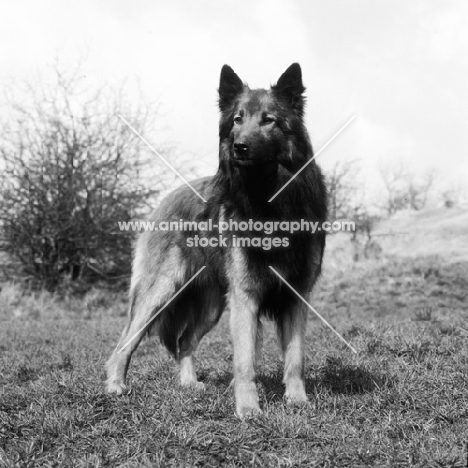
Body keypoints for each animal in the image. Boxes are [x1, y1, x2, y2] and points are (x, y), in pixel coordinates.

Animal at [106, 62, 328, 416]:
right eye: (237, 119)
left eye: (268, 119)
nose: (239, 146)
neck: (268, 199)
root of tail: (165, 198)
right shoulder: (245, 295)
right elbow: (245, 361)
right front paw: (249, 409)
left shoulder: (296, 294)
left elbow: (295, 357)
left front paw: (297, 400)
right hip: (161, 291)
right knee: (126, 339)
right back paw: (115, 385)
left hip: (212, 305)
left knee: (184, 341)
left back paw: (189, 383)